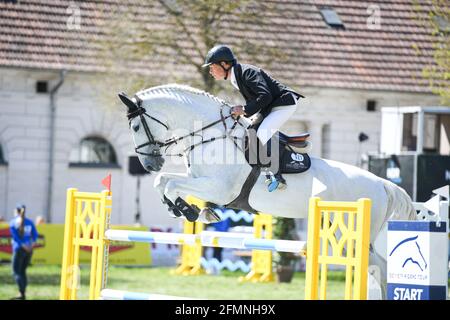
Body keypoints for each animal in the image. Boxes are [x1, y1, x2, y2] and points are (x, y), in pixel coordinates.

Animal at [118, 83, 414, 298]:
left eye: (136, 126)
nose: (149, 164)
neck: (209, 136)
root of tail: (381, 184)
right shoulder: (198, 179)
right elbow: (163, 182)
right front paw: (188, 210)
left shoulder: (219, 189)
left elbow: (170, 183)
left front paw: (187, 210)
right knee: (379, 269)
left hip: (350, 236)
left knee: (379, 268)